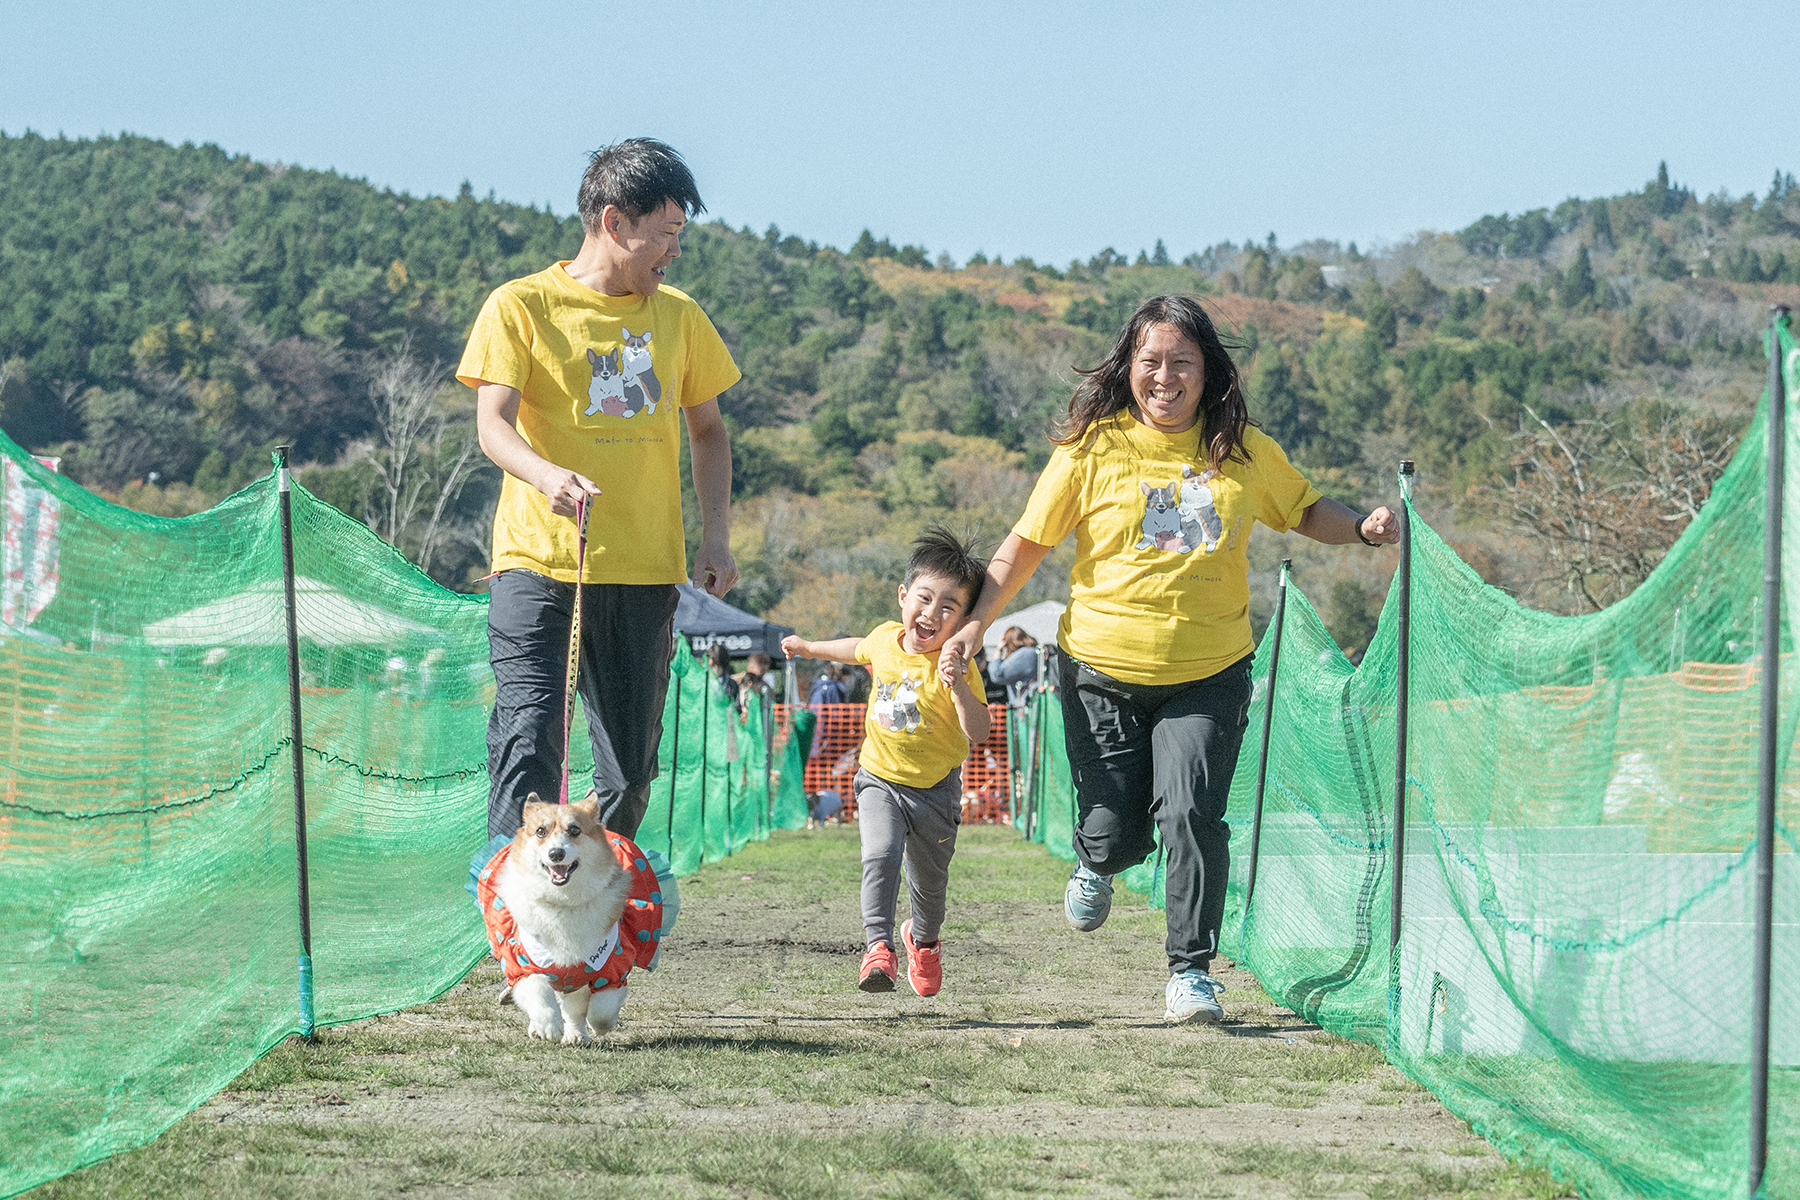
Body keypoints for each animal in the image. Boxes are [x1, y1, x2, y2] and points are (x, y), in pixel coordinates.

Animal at [482, 791, 666, 1036]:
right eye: (540, 831)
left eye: (575, 830)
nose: (556, 853)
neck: (562, 902)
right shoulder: (520, 964)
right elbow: (539, 992)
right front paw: (548, 1026)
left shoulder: (611, 968)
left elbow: (601, 1012)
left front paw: (593, 1027)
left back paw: (576, 1034)